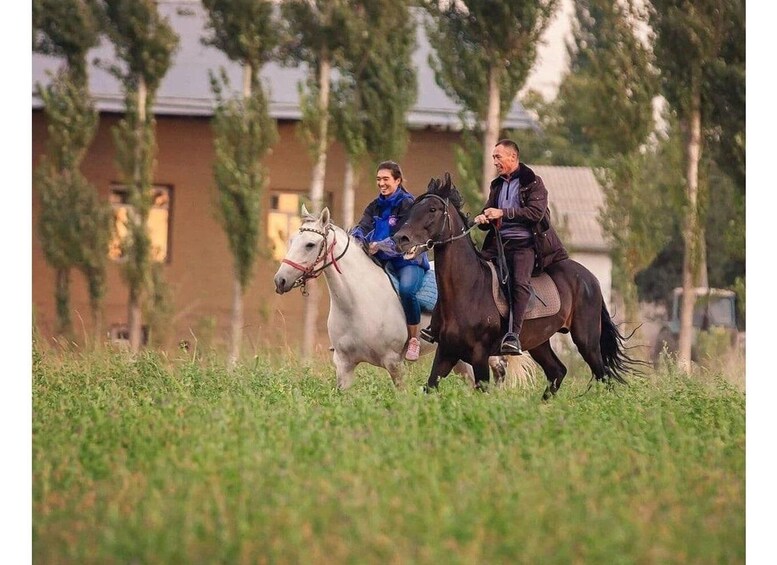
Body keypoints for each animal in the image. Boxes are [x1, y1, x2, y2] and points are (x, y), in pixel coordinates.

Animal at [272, 205, 516, 390]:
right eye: (291, 240)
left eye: (310, 244)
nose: (280, 280)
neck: (358, 303)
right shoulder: (344, 364)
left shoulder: (394, 363)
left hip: (485, 353)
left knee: (499, 372)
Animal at [394, 174, 636, 398]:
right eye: (411, 208)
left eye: (432, 209)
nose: (400, 239)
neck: (467, 290)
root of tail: (590, 278)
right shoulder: (446, 351)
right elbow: (429, 388)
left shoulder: (480, 356)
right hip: (539, 342)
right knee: (558, 371)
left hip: (587, 341)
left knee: (603, 376)